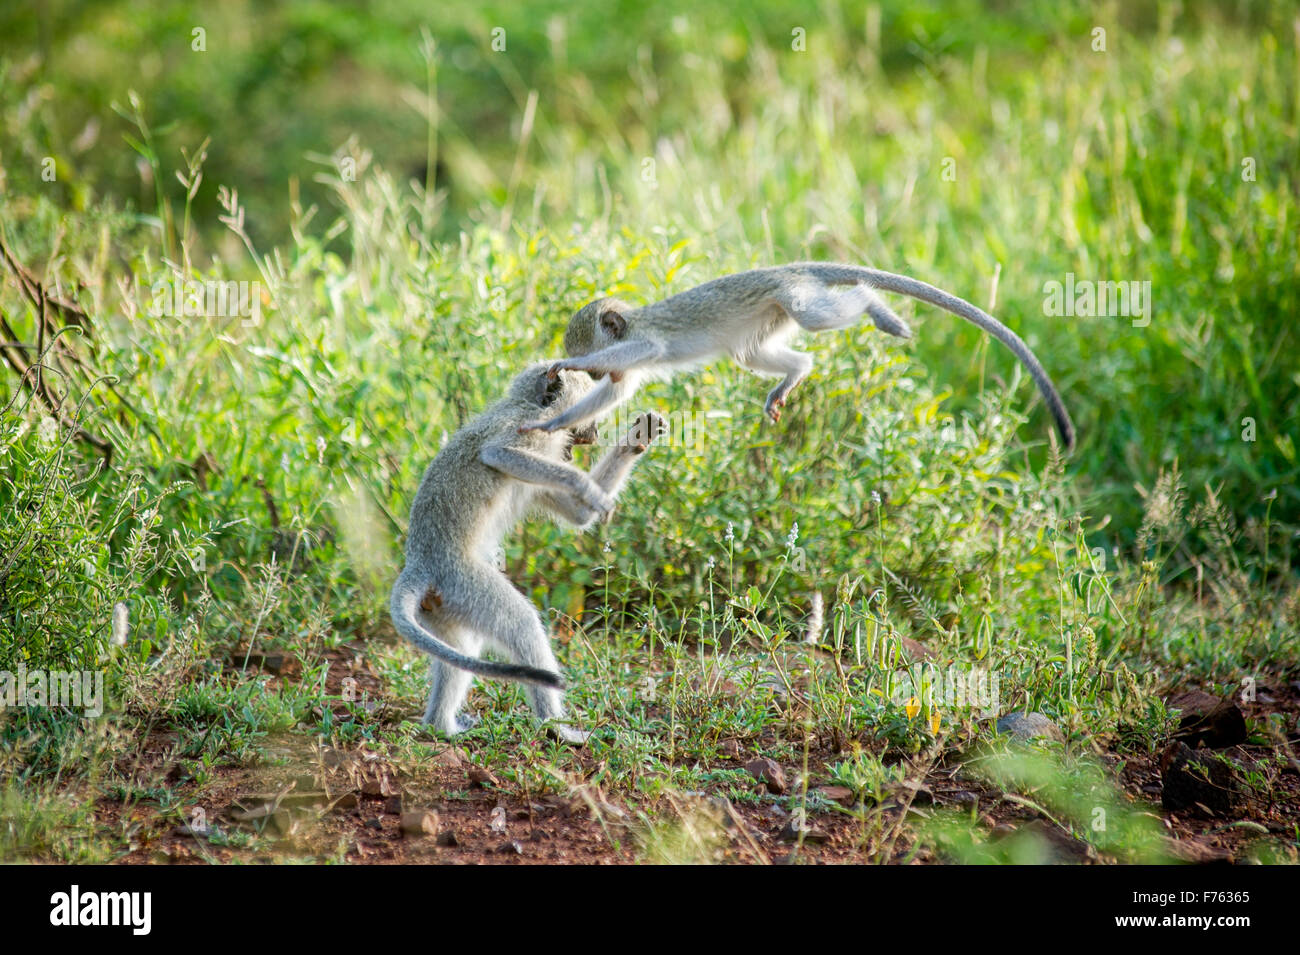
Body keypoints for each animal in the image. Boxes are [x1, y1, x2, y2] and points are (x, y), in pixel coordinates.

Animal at [390, 361, 665, 743]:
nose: (594, 433)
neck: (532, 406)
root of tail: (419, 564)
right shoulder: (528, 430)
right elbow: (499, 453)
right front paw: (587, 486)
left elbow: (579, 515)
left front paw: (639, 436)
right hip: (462, 581)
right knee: (520, 624)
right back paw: (555, 726)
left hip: (444, 604)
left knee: (461, 651)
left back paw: (441, 727)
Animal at [517, 263, 1076, 454]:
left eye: (590, 354)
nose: (593, 369)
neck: (631, 323)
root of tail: (792, 270)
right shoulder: (625, 371)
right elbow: (614, 394)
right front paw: (554, 424)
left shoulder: (645, 341)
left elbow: (648, 349)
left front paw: (563, 374)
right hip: (772, 315)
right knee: (752, 354)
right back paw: (794, 376)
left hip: (793, 297)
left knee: (823, 312)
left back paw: (876, 306)